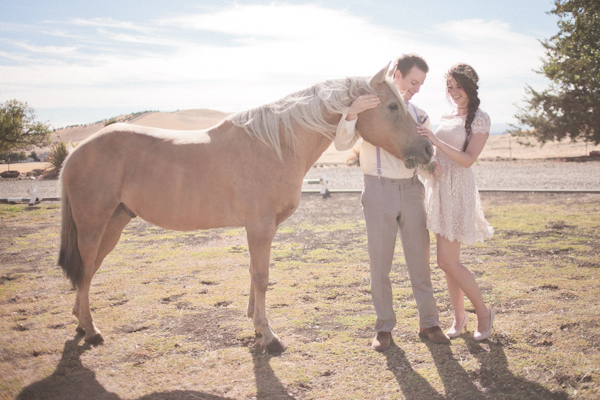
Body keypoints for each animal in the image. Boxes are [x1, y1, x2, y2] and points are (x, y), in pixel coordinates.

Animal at [58, 62, 434, 354]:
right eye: (392, 106)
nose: (428, 148)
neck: (277, 144)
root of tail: (75, 153)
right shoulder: (259, 226)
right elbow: (261, 277)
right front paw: (268, 336)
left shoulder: (263, 228)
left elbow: (255, 275)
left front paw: (256, 324)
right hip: (94, 225)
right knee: (85, 270)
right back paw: (91, 331)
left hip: (113, 223)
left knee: (88, 271)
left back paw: (80, 324)